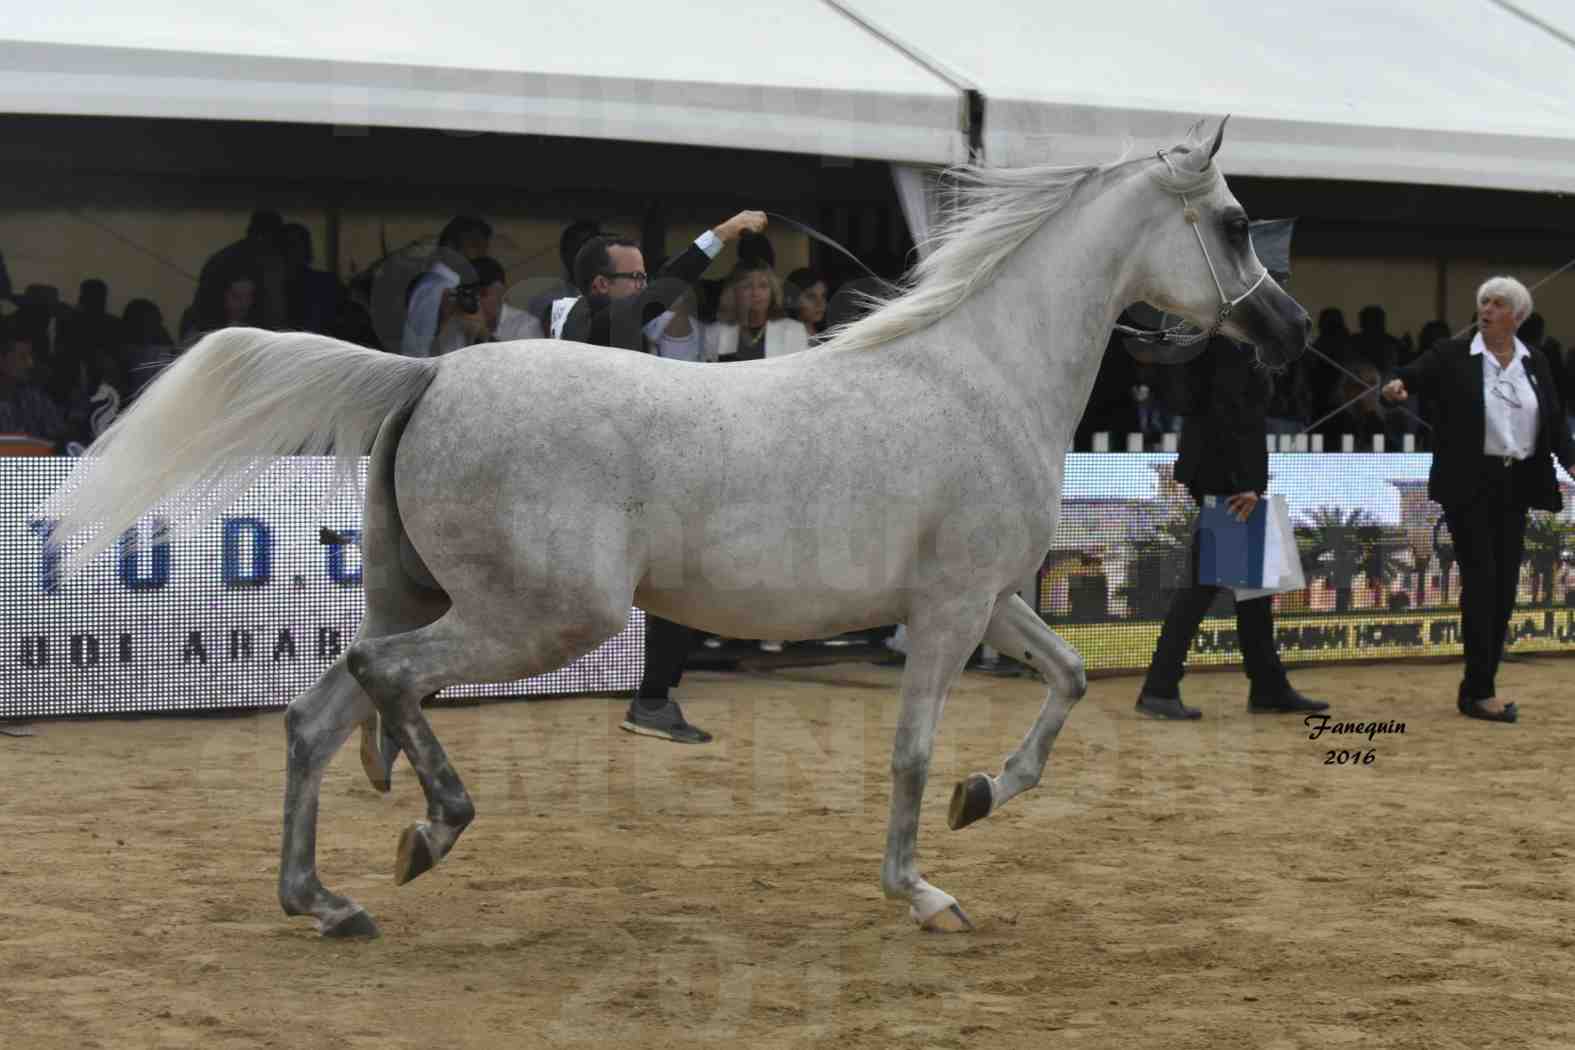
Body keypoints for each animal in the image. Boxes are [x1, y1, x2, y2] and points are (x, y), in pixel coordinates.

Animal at [46, 118, 1304, 938]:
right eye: (1238, 222)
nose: (1290, 333)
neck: (979, 374)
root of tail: (432, 375)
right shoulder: (947, 614)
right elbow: (908, 752)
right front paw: (924, 891)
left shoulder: (986, 601)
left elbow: (1070, 684)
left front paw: (983, 797)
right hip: (543, 618)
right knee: (382, 679)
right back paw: (430, 832)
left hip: (440, 600)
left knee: (318, 717)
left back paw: (326, 901)